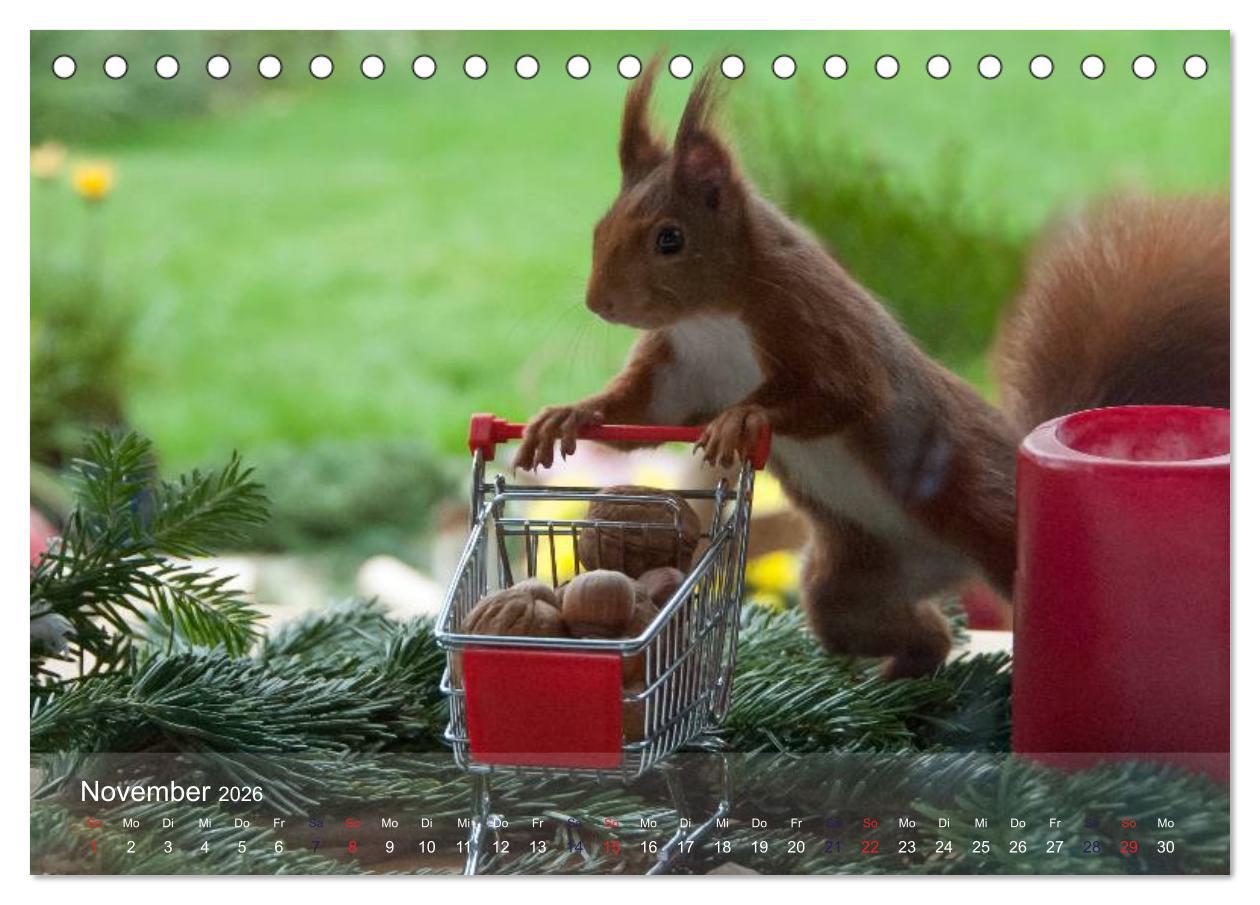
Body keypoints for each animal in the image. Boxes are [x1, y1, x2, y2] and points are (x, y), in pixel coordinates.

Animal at [512, 60, 1230, 678]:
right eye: (599, 228)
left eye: (670, 238)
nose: (599, 303)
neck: (713, 320)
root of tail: (947, 565)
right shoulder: (681, 370)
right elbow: (643, 411)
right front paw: (568, 415)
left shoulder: (818, 325)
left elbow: (847, 392)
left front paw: (744, 418)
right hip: (848, 583)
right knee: (916, 633)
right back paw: (892, 676)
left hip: (987, 510)